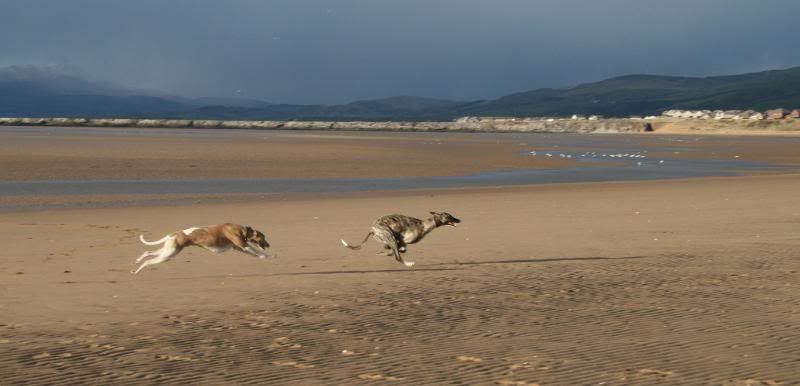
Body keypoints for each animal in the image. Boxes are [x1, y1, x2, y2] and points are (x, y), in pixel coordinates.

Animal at [134, 223, 276, 274]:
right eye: (263, 237)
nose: (269, 245)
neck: (242, 230)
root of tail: (174, 234)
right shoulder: (243, 246)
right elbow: (256, 251)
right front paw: (267, 256)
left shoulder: (240, 248)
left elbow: (254, 252)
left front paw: (266, 256)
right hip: (169, 254)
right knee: (148, 261)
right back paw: (137, 271)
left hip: (169, 250)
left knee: (148, 252)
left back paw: (138, 260)